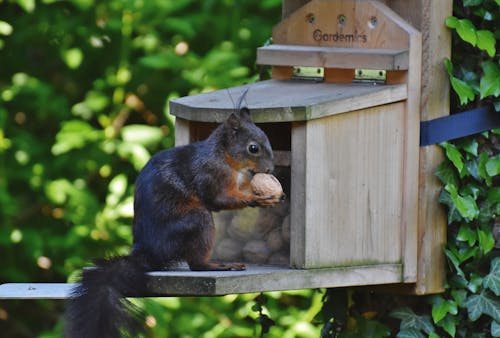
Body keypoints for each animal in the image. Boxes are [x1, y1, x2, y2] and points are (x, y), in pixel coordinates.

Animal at [63, 93, 282, 338]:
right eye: (253, 148)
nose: (270, 169)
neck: (224, 157)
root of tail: (147, 251)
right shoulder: (210, 174)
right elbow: (217, 200)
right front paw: (259, 199)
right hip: (198, 221)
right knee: (196, 263)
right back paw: (217, 266)